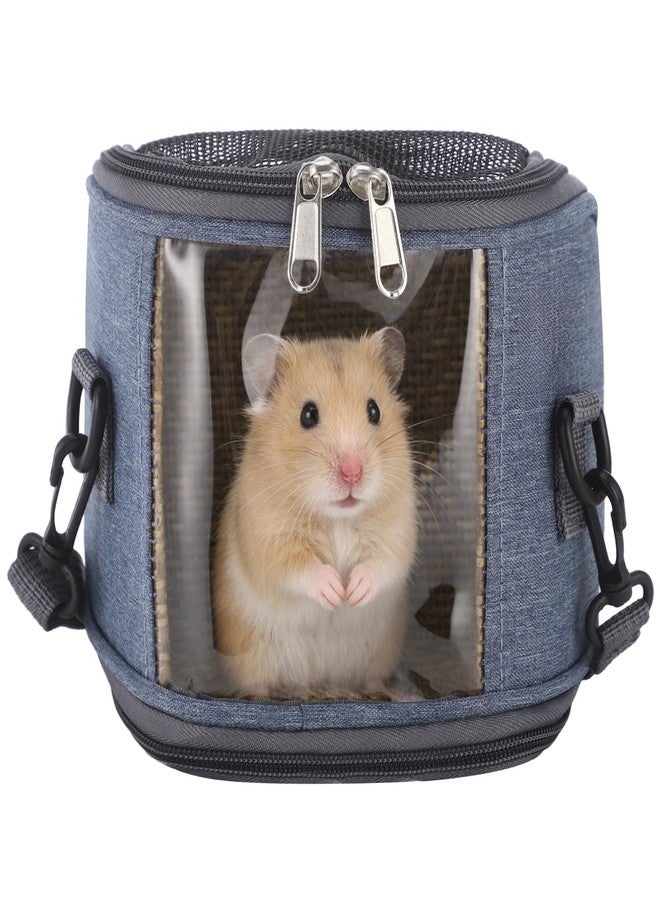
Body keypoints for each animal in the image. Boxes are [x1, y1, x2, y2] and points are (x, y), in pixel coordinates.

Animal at [213, 327, 417, 699]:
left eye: (374, 410)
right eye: (308, 415)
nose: (352, 473)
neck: (338, 517)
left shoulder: (397, 529)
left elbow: (382, 563)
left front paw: (353, 593)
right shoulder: (267, 538)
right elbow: (299, 568)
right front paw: (336, 593)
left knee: (371, 677)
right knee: (256, 684)